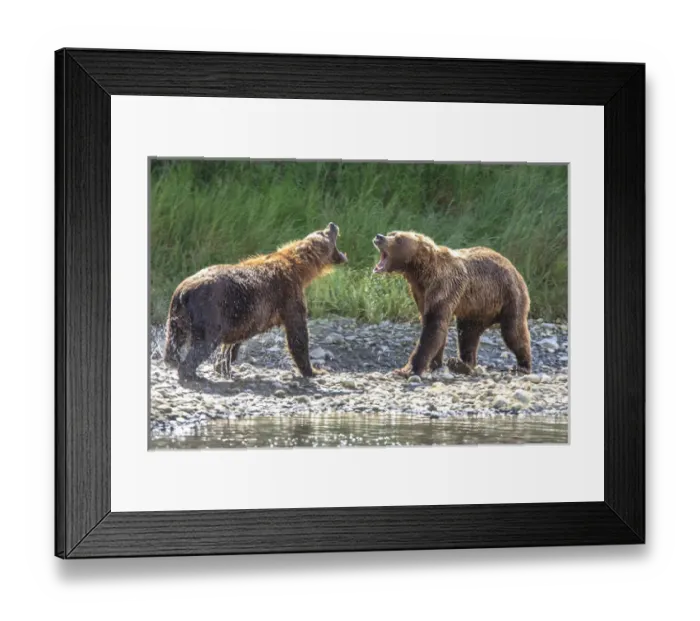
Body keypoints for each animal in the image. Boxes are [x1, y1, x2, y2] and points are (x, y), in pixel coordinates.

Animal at [163, 223, 347, 383]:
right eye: (325, 232)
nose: (332, 224)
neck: (300, 269)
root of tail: (184, 291)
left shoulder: (241, 315)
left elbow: (234, 341)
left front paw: (224, 364)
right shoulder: (288, 295)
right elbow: (297, 334)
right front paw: (314, 370)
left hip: (177, 315)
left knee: (174, 340)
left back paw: (174, 361)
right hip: (208, 309)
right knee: (205, 342)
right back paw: (191, 373)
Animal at [372, 231, 532, 377]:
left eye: (399, 239)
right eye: (391, 233)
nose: (379, 237)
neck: (420, 273)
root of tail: (512, 266)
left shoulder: (444, 286)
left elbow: (433, 326)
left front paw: (407, 369)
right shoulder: (421, 294)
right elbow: (434, 326)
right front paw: (435, 363)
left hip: (508, 295)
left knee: (513, 331)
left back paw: (523, 365)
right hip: (476, 308)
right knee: (468, 333)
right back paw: (462, 363)